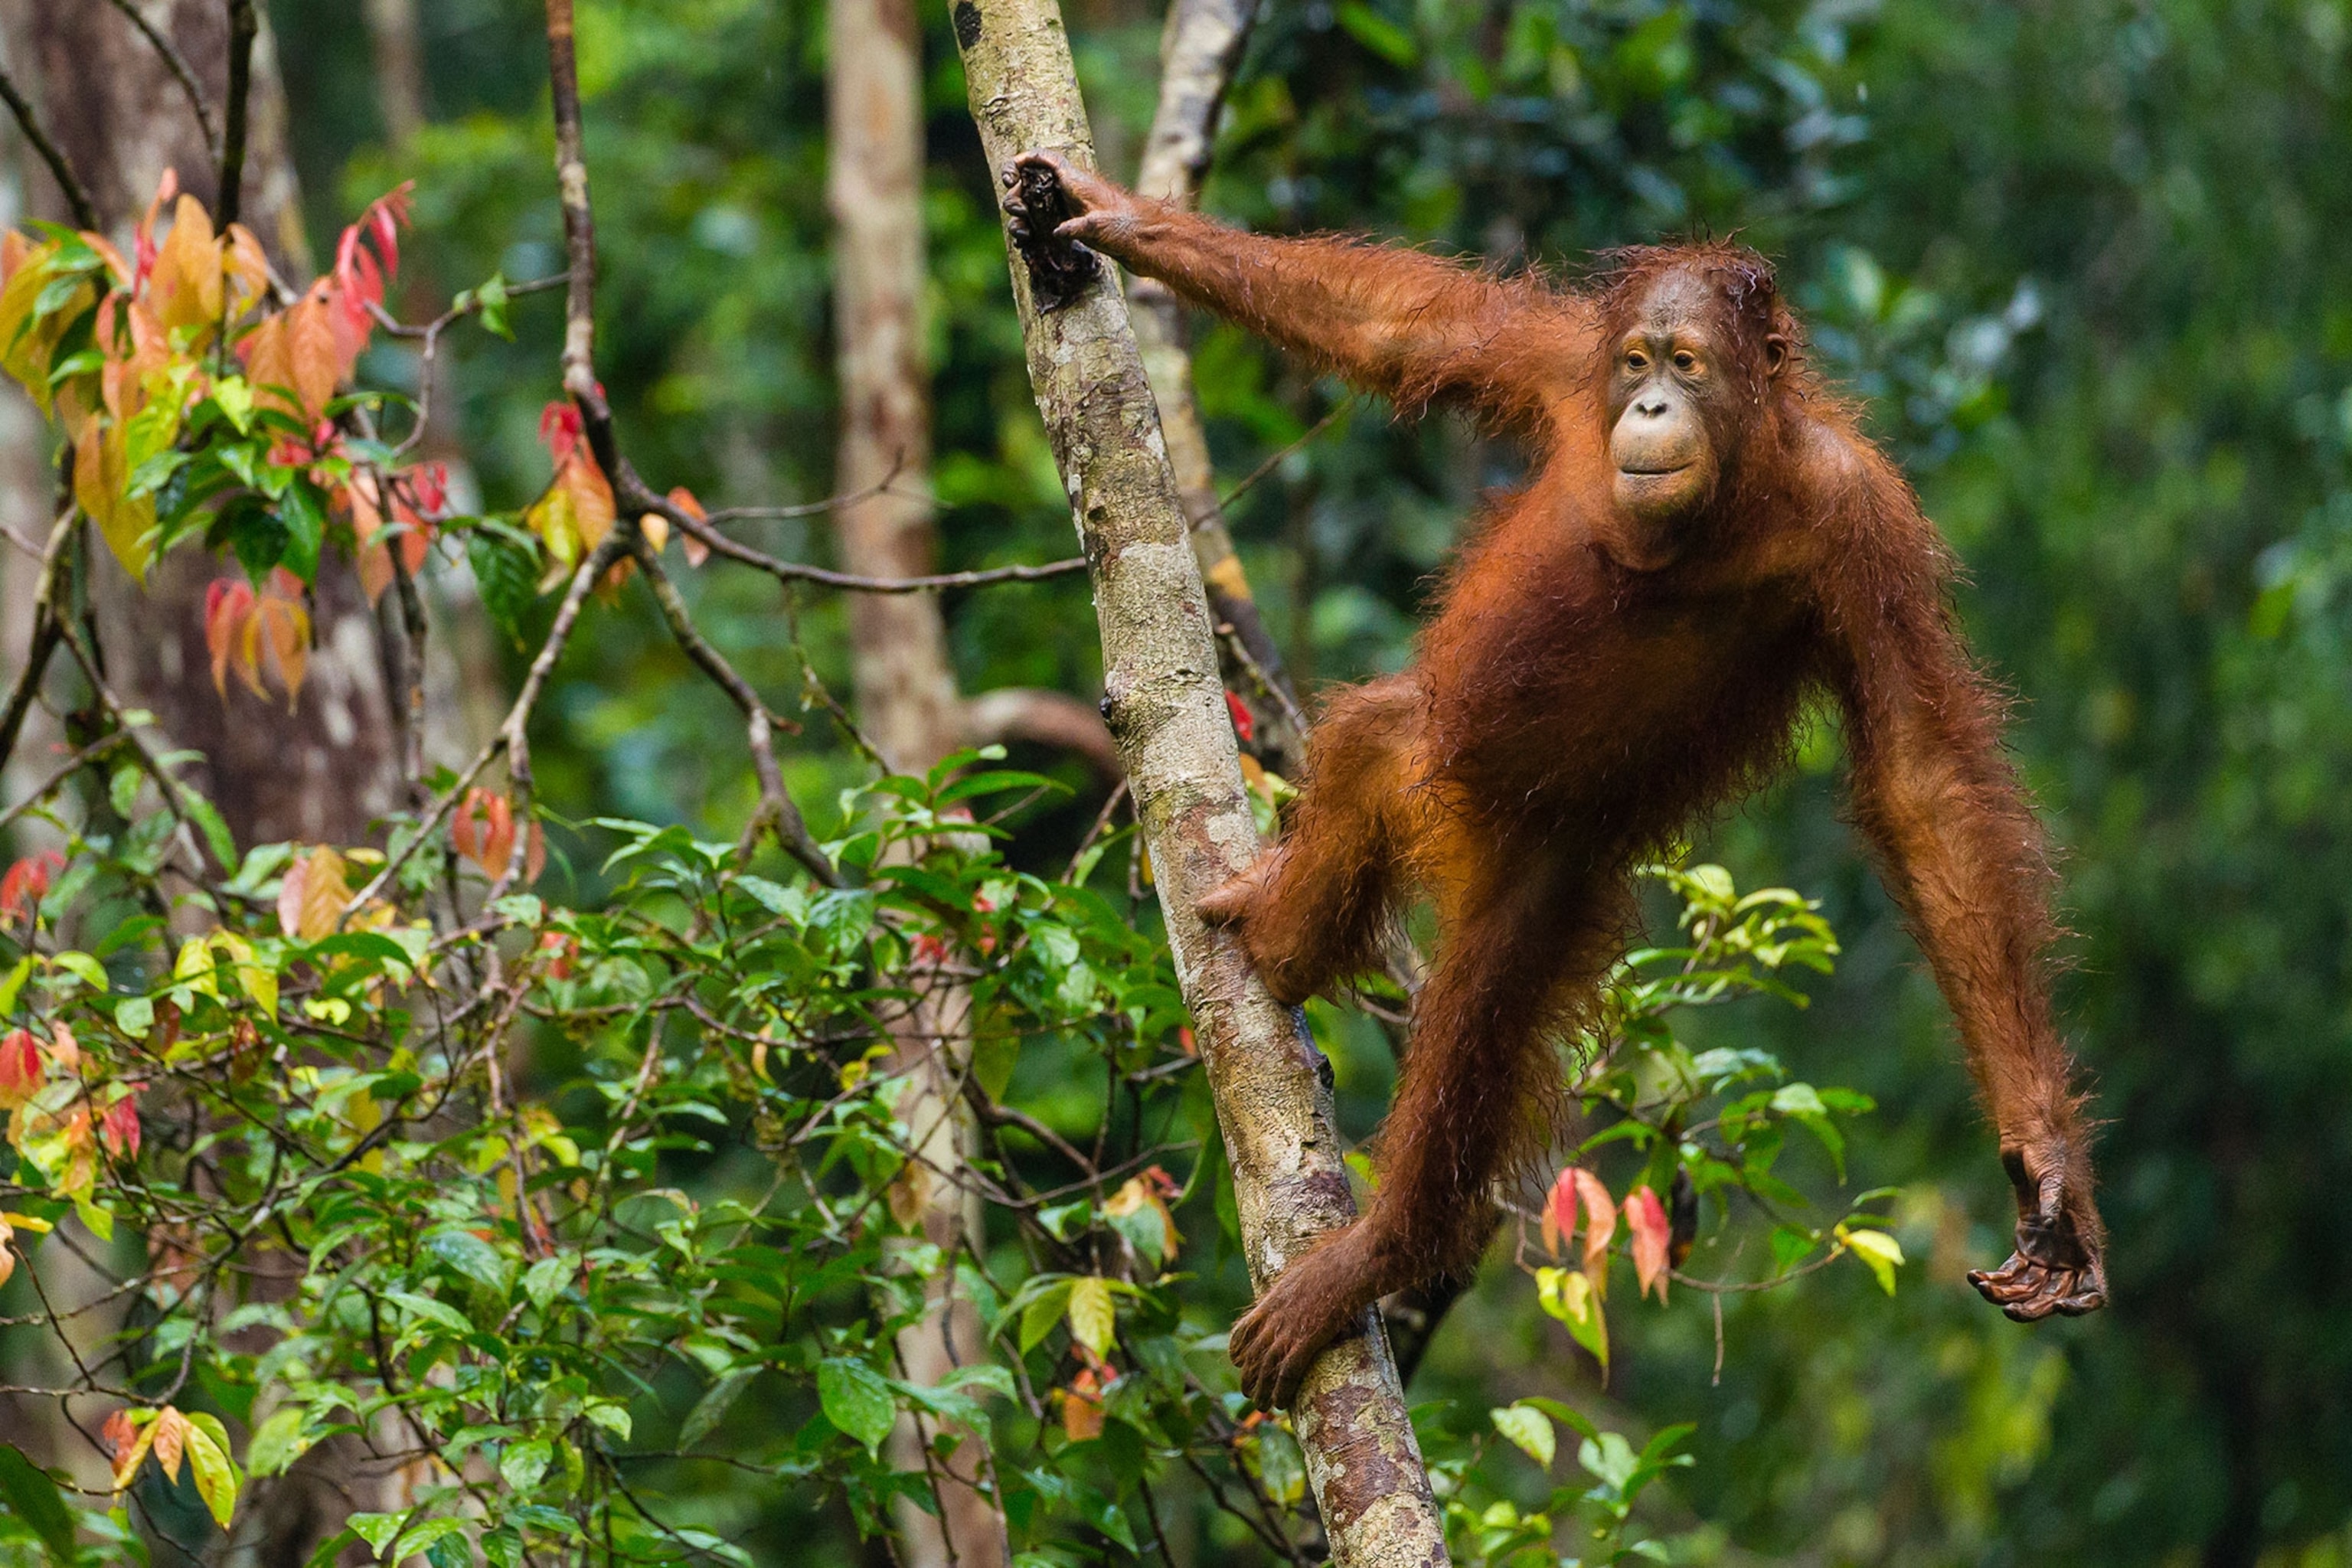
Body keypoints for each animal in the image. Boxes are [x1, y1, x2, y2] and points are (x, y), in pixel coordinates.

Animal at [1005, 150, 2107, 1410]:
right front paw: (1108, 215)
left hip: (1542, 877)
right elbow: (1412, 329)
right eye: (1637, 363)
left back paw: (1376, 1227)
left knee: (1476, 1028)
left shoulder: (1863, 521)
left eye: (1690, 364)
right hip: (1442, 771)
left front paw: (2045, 1168)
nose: (1650, 408)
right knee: (1379, 736)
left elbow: (1925, 786)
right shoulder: (1560, 363)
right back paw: (1277, 936)